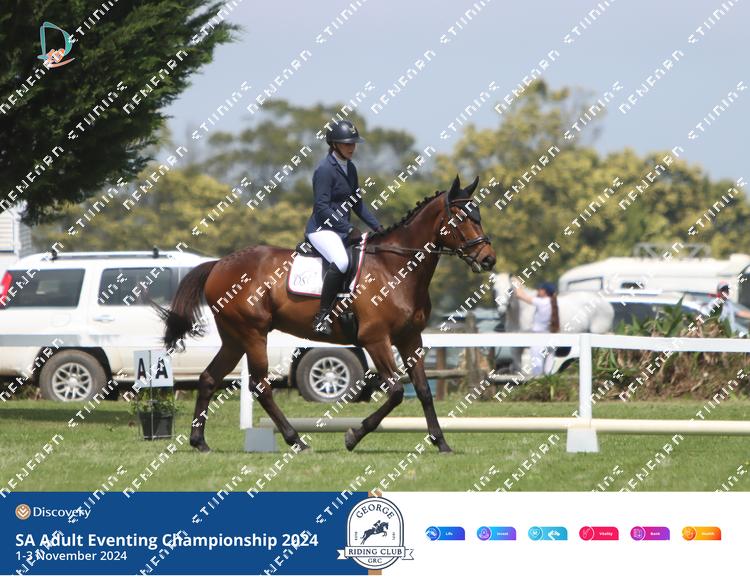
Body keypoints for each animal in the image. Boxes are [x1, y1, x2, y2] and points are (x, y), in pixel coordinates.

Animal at [156, 176, 496, 454]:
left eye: (479, 216)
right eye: (462, 218)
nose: (488, 259)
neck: (396, 268)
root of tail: (219, 264)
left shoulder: (410, 338)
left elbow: (424, 391)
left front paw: (441, 443)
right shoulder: (376, 339)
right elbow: (398, 392)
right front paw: (353, 435)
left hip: (234, 337)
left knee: (209, 378)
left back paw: (199, 442)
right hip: (253, 333)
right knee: (260, 386)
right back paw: (296, 440)